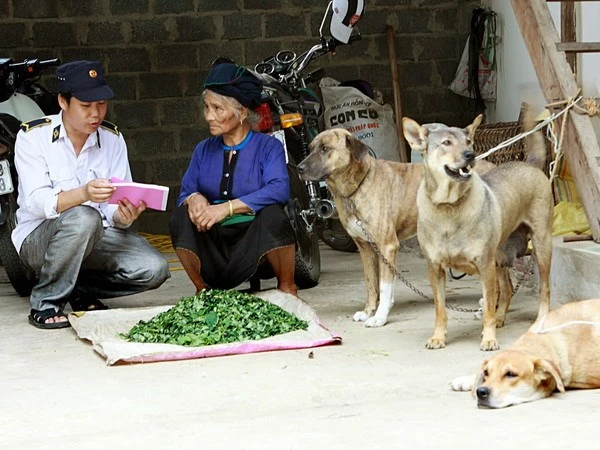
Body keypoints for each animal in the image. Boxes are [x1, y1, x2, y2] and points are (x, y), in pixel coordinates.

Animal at [298, 128, 492, 326]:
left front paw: (380, 317)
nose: (299, 168)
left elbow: (384, 286)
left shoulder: (387, 246)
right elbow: (371, 283)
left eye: (325, 148)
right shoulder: (365, 248)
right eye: (310, 148)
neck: (356, 187)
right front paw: (368, 311)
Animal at [404, 110, 552, 352]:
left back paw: (540, 321)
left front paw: (489, 339)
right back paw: (501, 318)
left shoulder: (484, 265)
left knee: (544, 290)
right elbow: (440, 309)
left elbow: (488, 307)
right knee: (508, 288)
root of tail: (529, 164)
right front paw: (438, 337)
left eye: (468, 141)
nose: (470, 154)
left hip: (541, 245)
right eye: (446, 142)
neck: (449, 207)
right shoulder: (435, 268)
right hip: (500, 256)